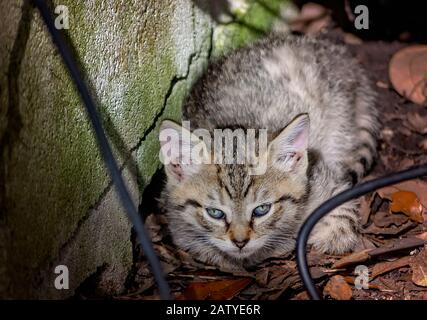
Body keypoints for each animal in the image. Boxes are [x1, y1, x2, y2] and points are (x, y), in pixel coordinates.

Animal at [157, 34, 378, 270]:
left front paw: (331, 235)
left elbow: (342, 208)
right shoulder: (177, 224)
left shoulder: (325, 178)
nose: (240, 241)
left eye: (261, 210)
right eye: (215, 213)